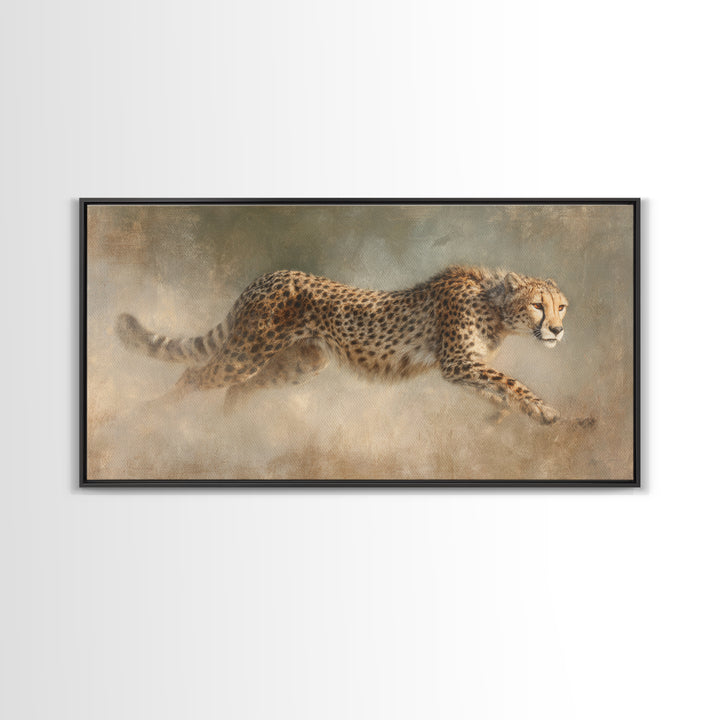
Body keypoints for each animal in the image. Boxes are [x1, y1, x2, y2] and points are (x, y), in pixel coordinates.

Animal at [115, 265, 595, 426]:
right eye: (537, 306)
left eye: (562, 307)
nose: (557, 331)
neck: (494, 305)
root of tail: (268, 276)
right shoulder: (458, 363)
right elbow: (512, 382)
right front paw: (548, 411)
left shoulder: (465, 369)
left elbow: (500, 391)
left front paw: (536, 417)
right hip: (248, 351)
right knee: (194, 374)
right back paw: (148, 418)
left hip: (301, 364)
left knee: (239, 389)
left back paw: (228, 432)